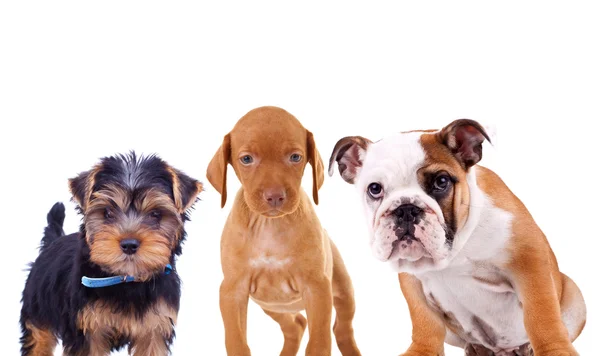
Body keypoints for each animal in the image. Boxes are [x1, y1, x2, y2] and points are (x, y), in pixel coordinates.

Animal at [19, 152, 203, 356]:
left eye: (156, 214)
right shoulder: (87, 329)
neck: (127, 280)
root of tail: (53, 242)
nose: (129, 244)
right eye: (107, 212)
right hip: (37, 307)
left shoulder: (155, 328)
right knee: (38, 340)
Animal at [206, 106, 360, 356]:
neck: (270, 226)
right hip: (272, 305)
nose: (275, 196)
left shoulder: (317, 288)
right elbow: (236, 341)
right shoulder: (232, 291)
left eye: (295, 157)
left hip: (342, 290)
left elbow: (319, 342)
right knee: (296, 324)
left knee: (342, 328)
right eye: (246, 159)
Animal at [328, 120, 584, 356]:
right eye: (374, 189)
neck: (454, 251)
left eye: (441, 182)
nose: (406, 209)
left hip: (574, 296)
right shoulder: (412, 281)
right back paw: (476, 348)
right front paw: (421, 351)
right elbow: (424, 321)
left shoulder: (528, 259)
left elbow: (541, 315)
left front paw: (554, 351)